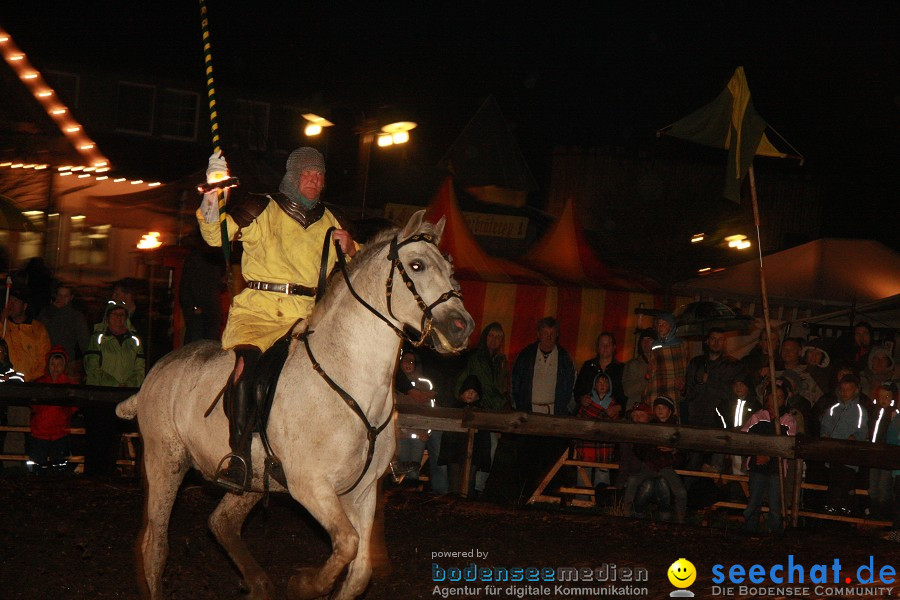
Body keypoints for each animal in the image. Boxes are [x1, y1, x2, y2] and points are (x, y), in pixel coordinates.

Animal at [116, 212, 474, 600]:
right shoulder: (311, 487)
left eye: (451, 270)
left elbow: (359, 571)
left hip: (252, 480)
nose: (462, 327)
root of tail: (158, 370)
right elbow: (346, 543)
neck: (348, 379)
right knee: (156, 545)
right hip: (165, 462)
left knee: (221, 522)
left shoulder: (362, 493)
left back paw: (258, 584)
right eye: (417, 265)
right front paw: (303, 583)